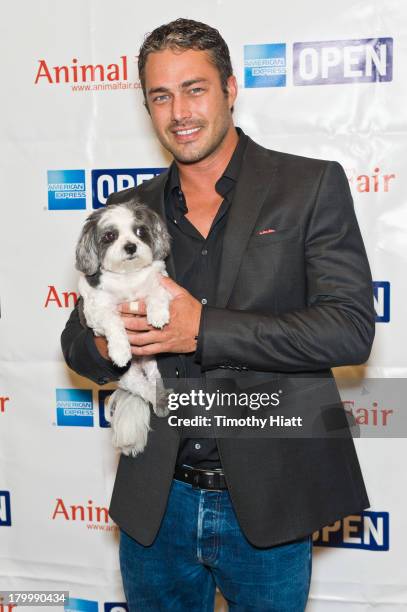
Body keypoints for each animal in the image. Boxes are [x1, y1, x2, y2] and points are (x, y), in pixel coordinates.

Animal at [75, 198, 172, 456]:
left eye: (140, 231)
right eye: (110, 235)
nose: (130, 246)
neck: (128, 277)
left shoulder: (162, 282)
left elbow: (156, 292)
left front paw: (157, 314)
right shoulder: (96, 311)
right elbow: (114, 321)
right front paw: (120, 350)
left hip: (153, 368)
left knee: (154, 383)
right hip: (129, 378)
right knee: (144, 389)